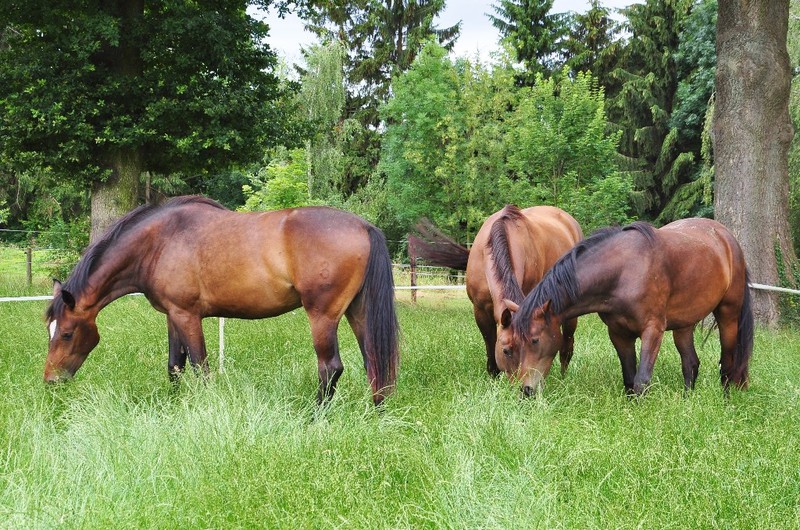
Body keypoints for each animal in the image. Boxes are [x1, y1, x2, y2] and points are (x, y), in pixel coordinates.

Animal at [44, 196, 400, 406]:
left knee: (330, 368)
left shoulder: (187, 316)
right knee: (374, 361)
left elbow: (200, 367)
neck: (160, 242)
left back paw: (315, 418)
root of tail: (364, 226)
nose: (51, 381)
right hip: (357, 311)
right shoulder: (172, 315)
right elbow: (175, 366)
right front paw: (174, 407)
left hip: (323, 316)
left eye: (66, 333)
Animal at [409, 205, 583, 380]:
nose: (519, 383)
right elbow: (490, 345)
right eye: (505, 350)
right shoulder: (480, 311)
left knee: (567, 345)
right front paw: (494, 377)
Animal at [505, 218, 754, 397]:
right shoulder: (619, 334)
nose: (526, 390)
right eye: (512, 346)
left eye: (535, 340)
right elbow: (628, 378)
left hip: (728, 315)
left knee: (727, 366)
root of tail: (727, 238)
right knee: (691, 364)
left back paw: (725, 400)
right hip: (684, 325)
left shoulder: (653, 330)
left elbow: (641, 380)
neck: (623, 272)